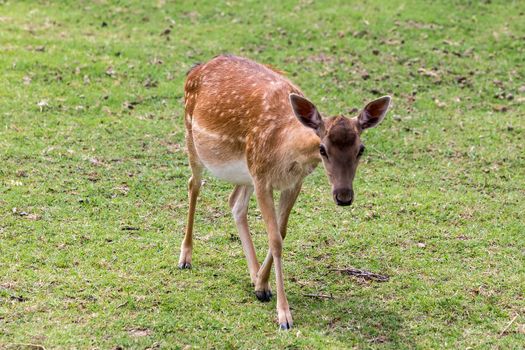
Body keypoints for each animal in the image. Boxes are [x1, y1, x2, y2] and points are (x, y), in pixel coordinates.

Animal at [179, 54, 388, 328]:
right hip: (192, 137)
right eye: (323, 149)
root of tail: (197, 68)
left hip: (245, 172)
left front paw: (261, 285)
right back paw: (185, 258)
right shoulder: (262, 179)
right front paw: (284, 315)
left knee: (235, 203)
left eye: (361, 149)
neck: (285, 149)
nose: (343, 196)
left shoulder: (292, 182)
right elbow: (275, 240)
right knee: (194, 184)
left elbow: (281, 231)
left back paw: (254, 274)